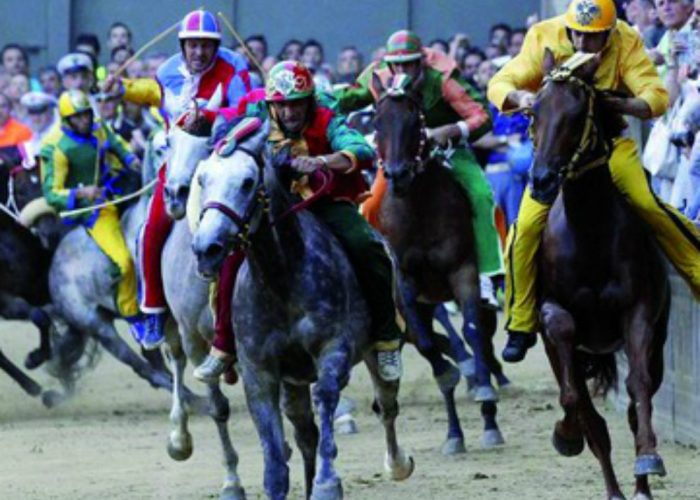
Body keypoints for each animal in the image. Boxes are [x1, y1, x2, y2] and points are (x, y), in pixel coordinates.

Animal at [191, 122, 416, 500]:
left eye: (248, 182)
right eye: (203, 178)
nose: (206, 248)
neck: (282, 279)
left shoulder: (333, 350)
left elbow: (326, 398)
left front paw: (327, 484)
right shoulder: (259, 370)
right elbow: (274, 456)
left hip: (379, 352)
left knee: (386, 405)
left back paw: (397, 464)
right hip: (292, 382)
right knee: (305, 432)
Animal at [372, 74, 508, 454]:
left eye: (415, 121)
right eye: (377, 122)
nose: (397, 174)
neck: (417, 209)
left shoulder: (462, 271)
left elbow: (473, 332)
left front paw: (486, 399)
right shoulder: (406, 284)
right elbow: (429, 347)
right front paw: (451, 377)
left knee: (484, 337)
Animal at [532, 47, 672, 500]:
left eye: (578, 115)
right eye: (533, 111)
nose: (542, 180)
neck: (588, 231)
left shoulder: (640, 309)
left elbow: (639, 386)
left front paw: (649, 456)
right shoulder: (549, 312)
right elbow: (574, 396)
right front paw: (566, 434)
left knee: (634, 399)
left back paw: (640, 486)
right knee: (589, 413)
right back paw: (610, 486)